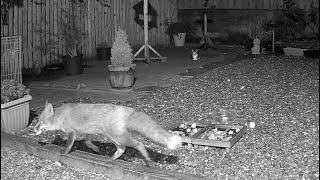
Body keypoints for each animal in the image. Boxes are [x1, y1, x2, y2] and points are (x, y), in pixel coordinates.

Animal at [32, 102, 184, 167]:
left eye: (41, 122)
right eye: (37, 121)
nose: (33, 129)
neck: (61, 115)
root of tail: (124, 110)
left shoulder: (71, 133)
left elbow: (69, 146)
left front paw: (64, 153)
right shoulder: (88, 133)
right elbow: (87, 143)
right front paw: (96, 150)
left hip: (119, 137)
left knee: (139, 144)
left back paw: (148, 161)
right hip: (113, 137)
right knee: (122, 149)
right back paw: (111, 159)